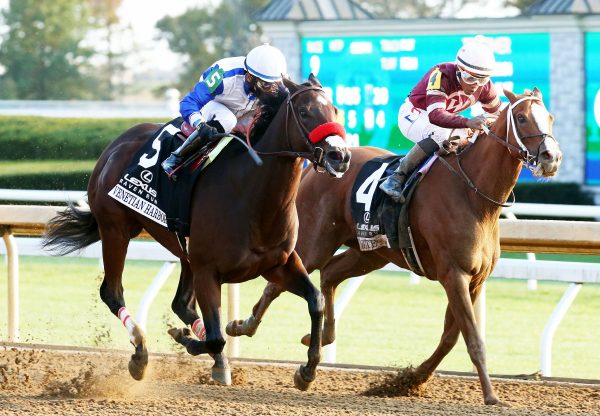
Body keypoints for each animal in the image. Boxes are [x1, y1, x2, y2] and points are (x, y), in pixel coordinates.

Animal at [42, 75, 352, 390]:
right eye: (304, 112)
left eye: (335, 111)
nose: (340, 156)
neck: (251, 196)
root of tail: (114, 146)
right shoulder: (207, 270)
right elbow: (216, 337)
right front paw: (189, 341)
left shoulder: (279, 264)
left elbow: (316, 301)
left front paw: (307, 370)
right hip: (116, 230)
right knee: (113, 293)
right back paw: (140, 353)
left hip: (183, 253)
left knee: (180, 303)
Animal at [224, 88, 564, 404]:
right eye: (521, 118)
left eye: (550, 117)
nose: (551, 157)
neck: (474, 196)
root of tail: (320, 165)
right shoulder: (454, 274)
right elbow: (471, 338)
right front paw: (491, 395)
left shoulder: (475, 280)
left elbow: (450, 337)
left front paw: (411, 380)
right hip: (316, 242)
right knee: (279, 283)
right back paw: (244, 326)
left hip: (370, 251)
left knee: (330, 274)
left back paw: (317, 342)